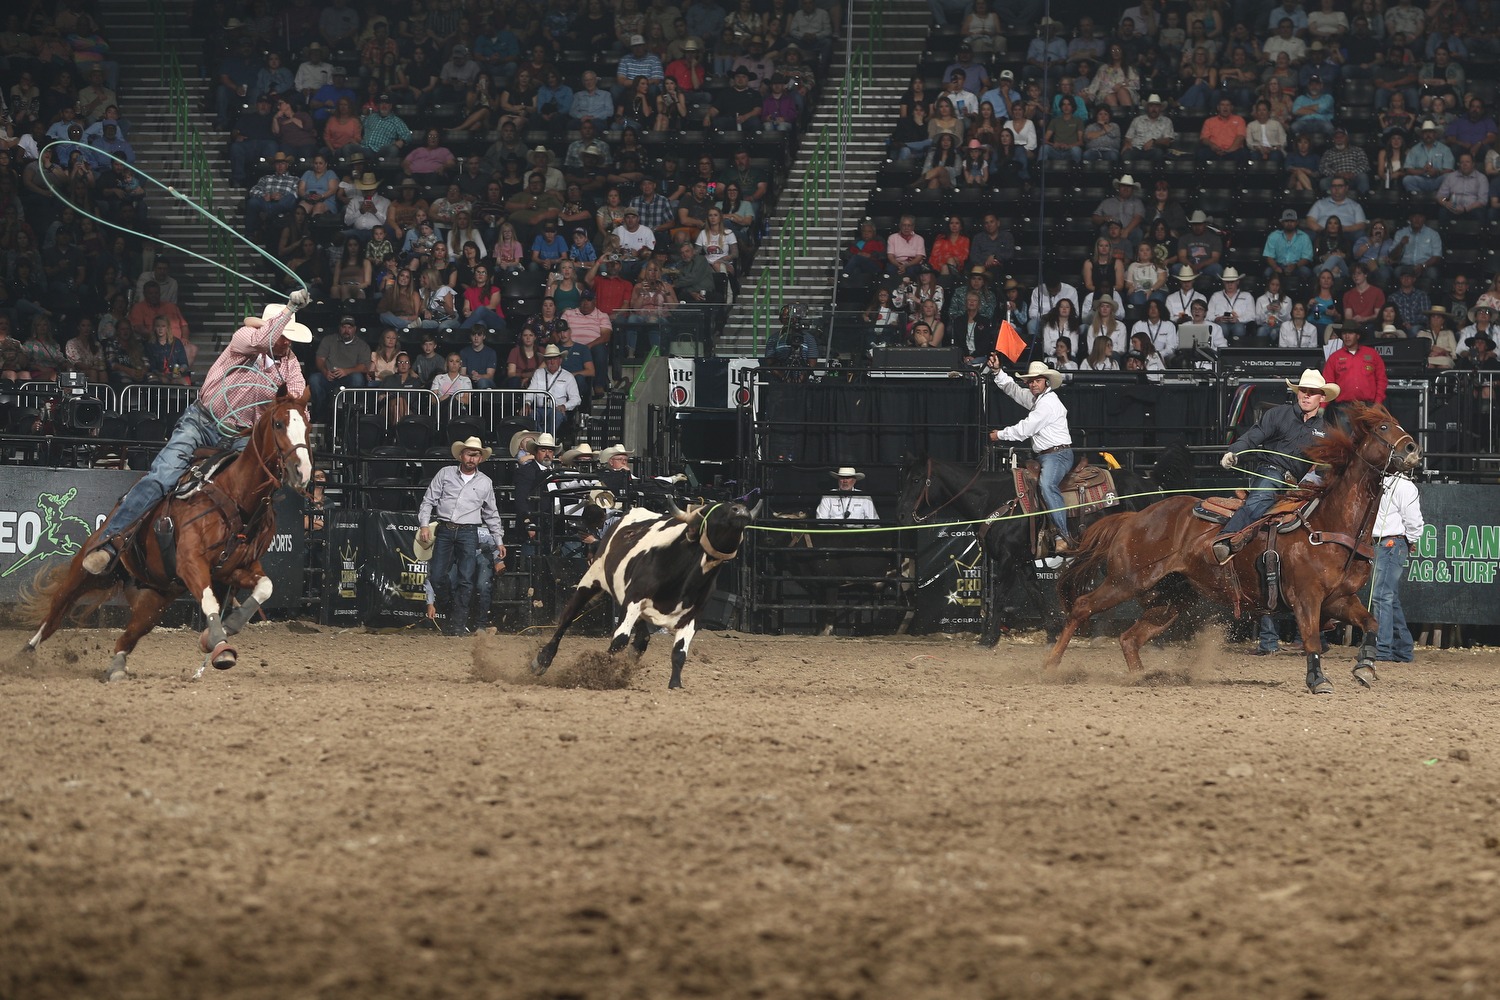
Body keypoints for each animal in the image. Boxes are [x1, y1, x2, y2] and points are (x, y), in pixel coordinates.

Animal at [21, 386, 312, 683]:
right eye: (279, 424)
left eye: (308, 427)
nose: (302, 471)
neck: (235, 497)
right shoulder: (191, 563)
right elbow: (209, 600)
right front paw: (220, 646)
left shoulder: (235, 569)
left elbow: (265, 587)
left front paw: (227, 628)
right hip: (86, 571)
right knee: (57, 611)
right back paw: (25, 655)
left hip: (155, 599)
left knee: (128, 636)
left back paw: (116, 668)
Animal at [888, 443, 1194, 644]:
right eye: (904, 477)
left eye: (917, 479)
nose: (900, 514)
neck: (996, 498)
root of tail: (1150, 484)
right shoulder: (1023, 560)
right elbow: (1035, 594)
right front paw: (1052, 632)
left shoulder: (1008, 560)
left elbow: (1000, 596)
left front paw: (988, 638)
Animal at [1044, 401, 1416, 692]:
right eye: (1384, 427)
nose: (1413, 448)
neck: (1328, 523)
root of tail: (1134, 517)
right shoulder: (1306, 597)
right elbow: (1312, 638)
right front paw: (1318, 681)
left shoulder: (1339, 599)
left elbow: (1372, 623)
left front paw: (1365, 667)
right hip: (1126, 581)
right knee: (1082, 607)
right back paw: (1049, 666)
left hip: (1172, 598)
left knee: (1130, 638)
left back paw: (1141, 679)